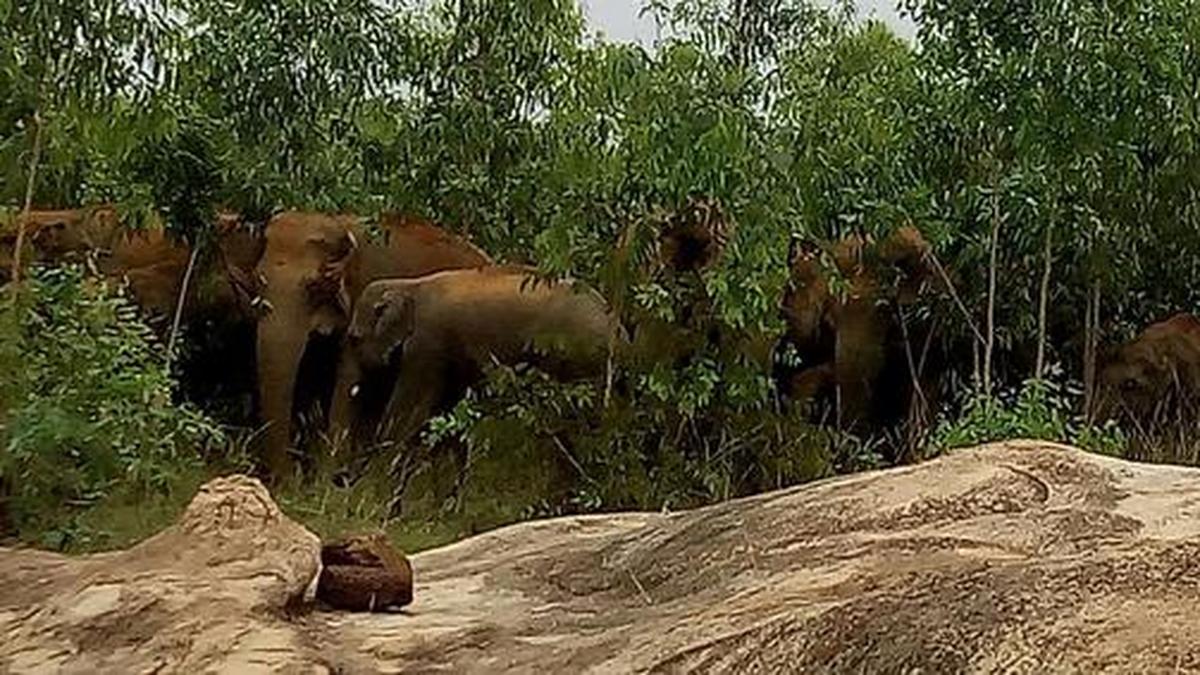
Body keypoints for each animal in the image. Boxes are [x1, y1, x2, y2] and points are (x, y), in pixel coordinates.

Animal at [254, 211, 492, 478]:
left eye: (313, 286)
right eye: (258, 280)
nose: (288, 474)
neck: (338, 223)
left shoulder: (366, 297)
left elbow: (348, 382)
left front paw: (330, 475)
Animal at [329, 266, 624, 456]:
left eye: (354, 338)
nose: (339, 480)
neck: (409, 284)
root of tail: (613, 325)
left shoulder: (428, 342)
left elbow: (408, 412)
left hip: (576, 361)